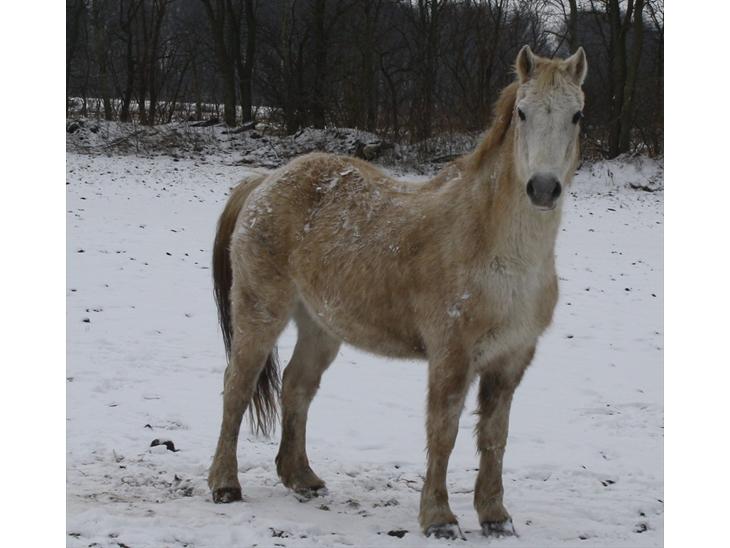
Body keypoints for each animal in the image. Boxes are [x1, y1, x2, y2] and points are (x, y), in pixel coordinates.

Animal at [207, 45, 587, 539]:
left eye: (577, 115)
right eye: (522, 112)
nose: (542, 188)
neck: (495, 249)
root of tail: (265, 181)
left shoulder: (510, 361)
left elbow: (494, 438)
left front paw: (495, 516)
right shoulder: (451, 355)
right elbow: (443, 432)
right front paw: (439, 518)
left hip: (320, 326)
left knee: (296, 387)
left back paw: (302, 478)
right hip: (260, 313)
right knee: (237, 385)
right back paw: (224, 484)